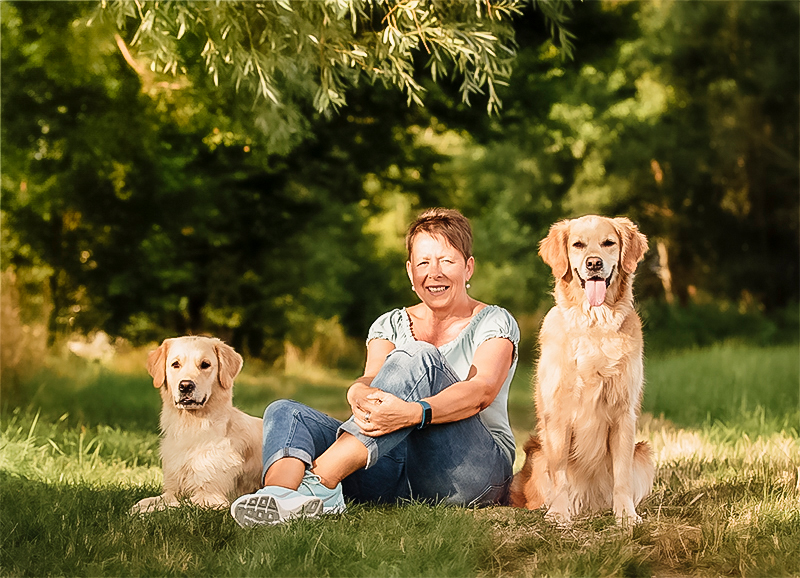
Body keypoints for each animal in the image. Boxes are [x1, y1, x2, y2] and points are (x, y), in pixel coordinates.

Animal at [131, 336, 262, 510]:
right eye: (175, 364)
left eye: (205, 364)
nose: (186, 386)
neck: (191, 426)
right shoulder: (173, 489)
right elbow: (148, 501)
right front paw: (138, 507)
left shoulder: (212, 497)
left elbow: (172, 506)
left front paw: (146, 512)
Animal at [512, 215, 656, 520]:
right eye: (578, 244)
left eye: (608, 243)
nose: (594, 264)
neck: (595, 324)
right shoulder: (558, 413)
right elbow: (559, 472)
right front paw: (559, 514)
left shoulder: (624, 412)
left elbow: (622, 476)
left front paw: (625, 516)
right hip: (537, 454)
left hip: (643, 454)